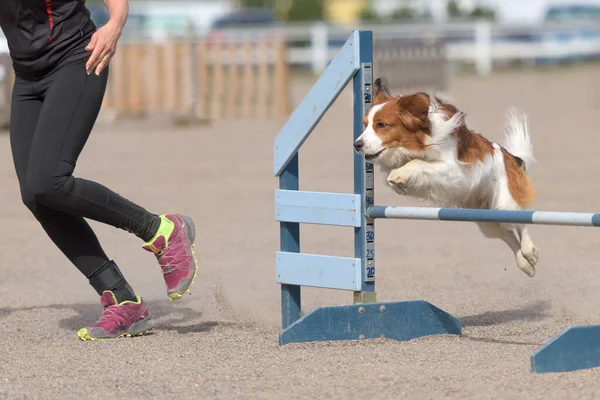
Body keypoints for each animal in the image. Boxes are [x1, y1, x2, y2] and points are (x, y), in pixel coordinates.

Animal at [354, 79, 540, 278]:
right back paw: (524, 263)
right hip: (486, 219)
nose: (357, 144)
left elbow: (418, 163)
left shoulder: (453, 170)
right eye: (365, 124)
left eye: (381, 125)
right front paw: (397, 181)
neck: (417, 143)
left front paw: (399, 174)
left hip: (504, 203)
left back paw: (529, 251)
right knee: (509, 235)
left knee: (520, 222)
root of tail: (510, 157)